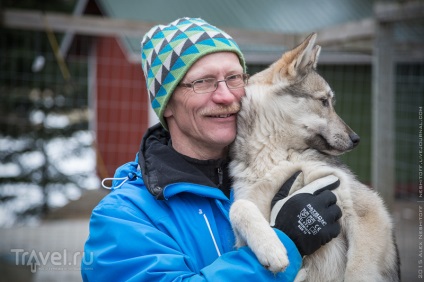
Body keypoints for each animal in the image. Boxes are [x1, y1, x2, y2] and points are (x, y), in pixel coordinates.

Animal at [230, 33, 400, 282]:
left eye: (330, 101)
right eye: (324, 101)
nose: (356, 139)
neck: (275, 157)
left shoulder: (367, 208)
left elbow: (357, 271)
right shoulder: (247, 219)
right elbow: (238, 207)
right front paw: (272, 249)